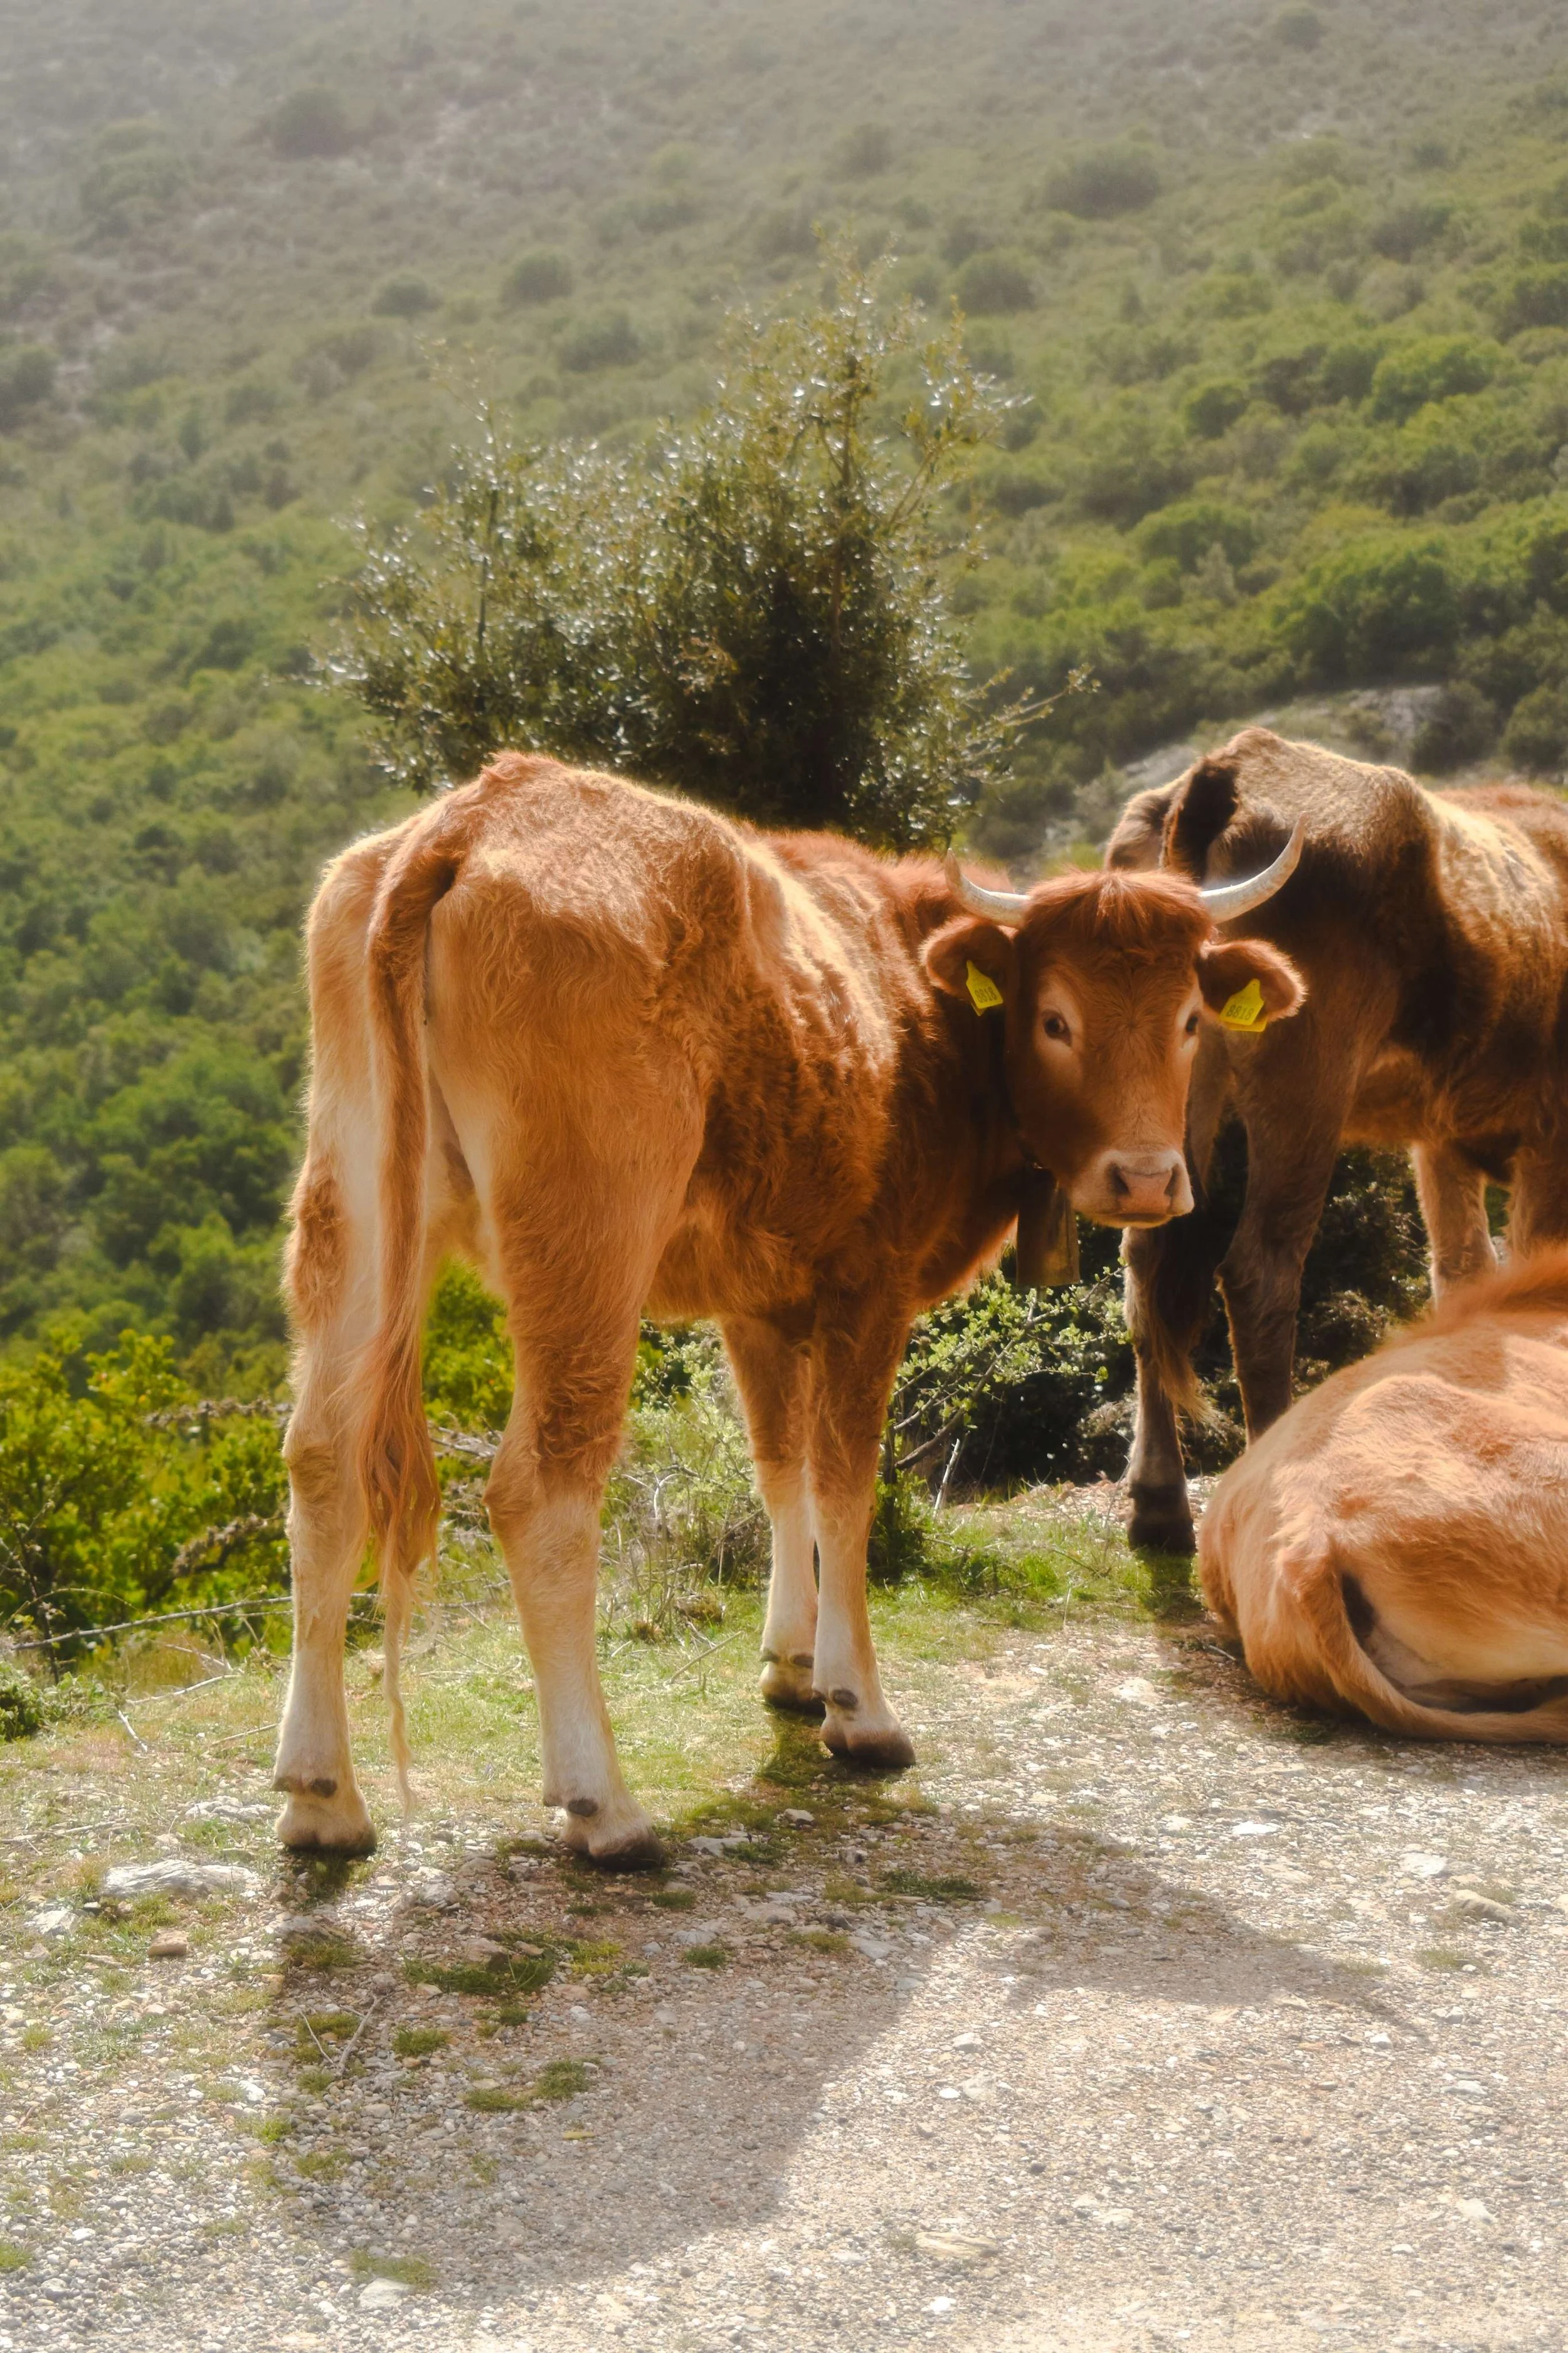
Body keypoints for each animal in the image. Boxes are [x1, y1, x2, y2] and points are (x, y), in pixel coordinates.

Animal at [273, 750, 1302, 1862]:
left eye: (1190, 1019)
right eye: (1055, 1017)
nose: (1147, 1179)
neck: (918, 1003)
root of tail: (482, 811)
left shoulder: (759, 1301)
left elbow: (781, 1469)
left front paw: (793, 1665)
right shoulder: (872, 1286)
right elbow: (845, 1482)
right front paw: (860, 1705)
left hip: (357, 1205)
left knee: (323, 1461)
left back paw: (321, 1793)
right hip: (588, 1236)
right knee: (541, 1489)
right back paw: (603, 1802)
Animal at [1107, 726, 1568, 1557]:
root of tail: (1234, 763)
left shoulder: (1441, 1140)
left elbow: (1463, 1273)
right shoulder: (1549, 1137)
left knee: (1146, 1266)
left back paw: (1159, 1504)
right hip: (1306, 1077)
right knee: (1260, 1271)